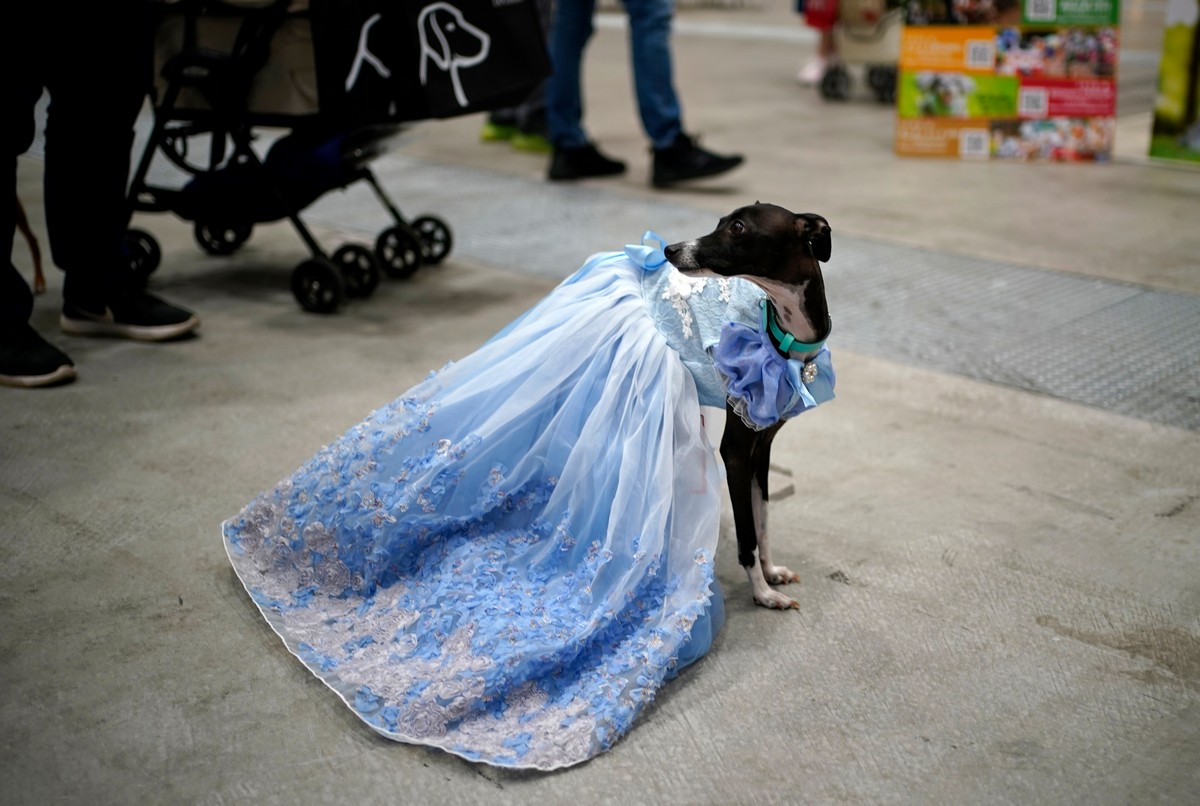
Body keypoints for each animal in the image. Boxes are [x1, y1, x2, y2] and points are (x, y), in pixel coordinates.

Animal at [662, 202, 830, 611]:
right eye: (721, 222)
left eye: (738, 227)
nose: (670, 250)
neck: (783, 340)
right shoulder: (736, 452)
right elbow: (747, 536)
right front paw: (763, 594)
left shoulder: (762, 447)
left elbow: (763, 520)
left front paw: (772, 574)